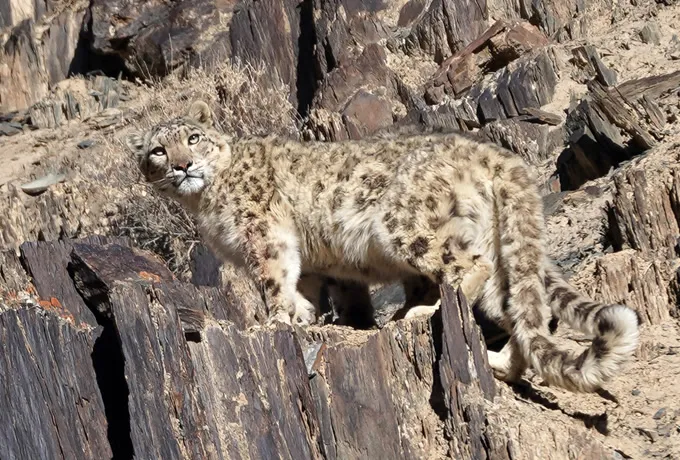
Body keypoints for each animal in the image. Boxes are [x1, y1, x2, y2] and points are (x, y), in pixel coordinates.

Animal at [125, 100, 639, 392]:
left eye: (193, 138)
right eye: (158, 151)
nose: (182, 165)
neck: (204, 204)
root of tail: (490, 152)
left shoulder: (264, 235)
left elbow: (272, 281)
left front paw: (271, 322)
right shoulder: (310, 261)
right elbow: (303, 286)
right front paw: (305, 318)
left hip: (403, 225)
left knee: (464, 267)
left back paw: (422, 313)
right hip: (496, 248)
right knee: (519, 311)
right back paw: (499, 362)